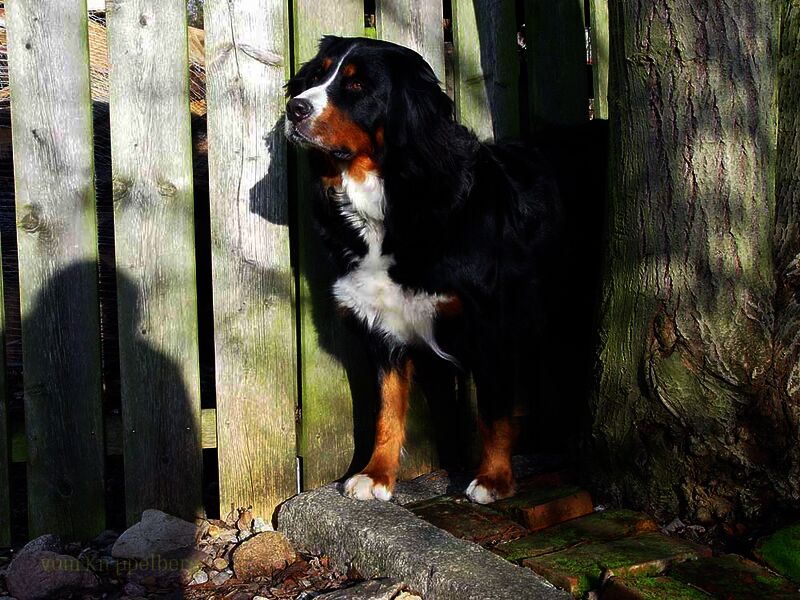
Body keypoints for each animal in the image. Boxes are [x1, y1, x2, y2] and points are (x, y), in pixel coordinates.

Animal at [285, 36, 564, 504]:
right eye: (316, 75)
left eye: (357, 85)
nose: (294, 108)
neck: (391, 200)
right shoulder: (381, 327)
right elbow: (387, 408)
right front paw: (376, 474)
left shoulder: (492, 323)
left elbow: (493, 408)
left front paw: (493, 478)